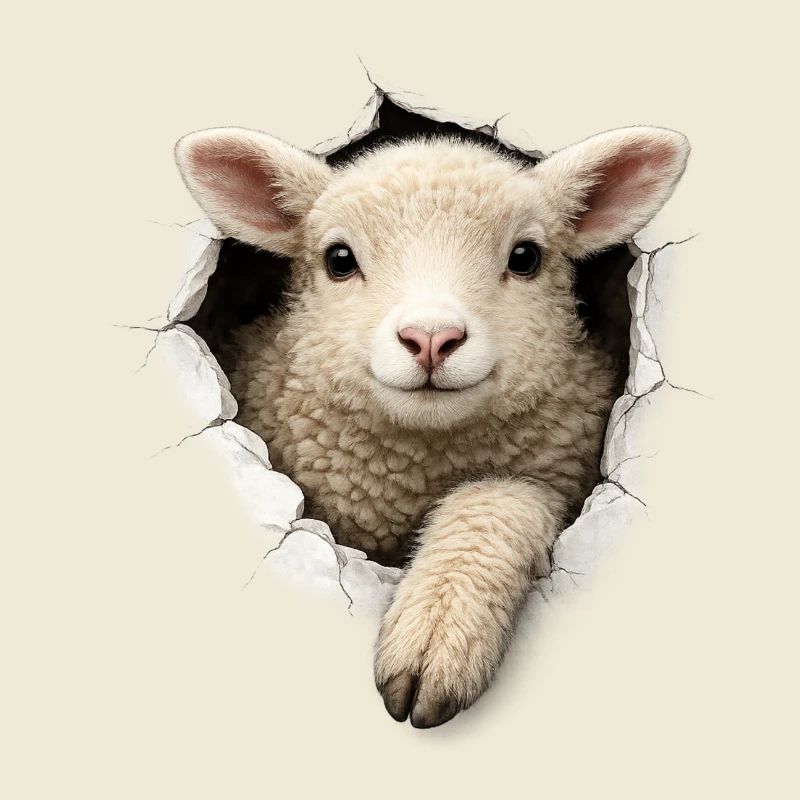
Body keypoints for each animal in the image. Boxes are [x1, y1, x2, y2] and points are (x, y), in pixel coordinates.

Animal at [175, 123, 689, 728]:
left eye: (525, 257)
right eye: (339, 259)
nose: (431, 338)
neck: (419, 461)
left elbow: (498, 501)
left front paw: (438, 635)